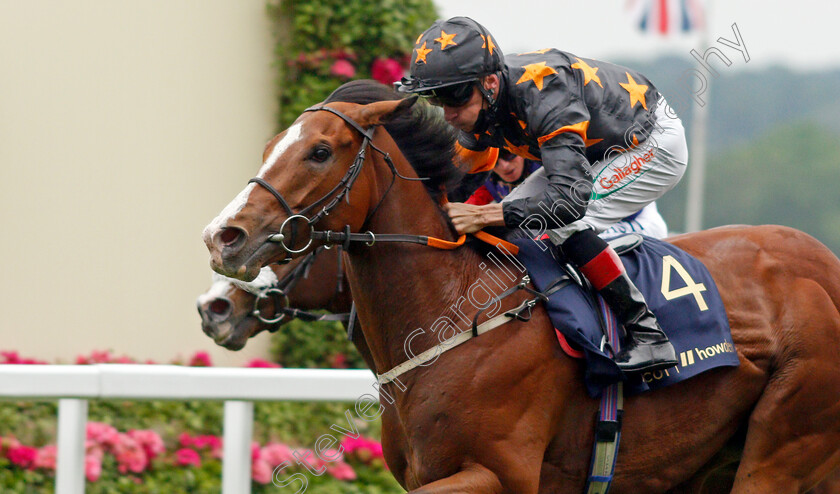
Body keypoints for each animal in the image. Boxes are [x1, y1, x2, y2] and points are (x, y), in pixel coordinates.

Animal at [202, 84, 840, 490]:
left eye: (319, 151)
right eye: (269, 148)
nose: (222, 238)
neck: (455, 312)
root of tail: (825, 267)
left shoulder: (497, 474)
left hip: (784, 445)